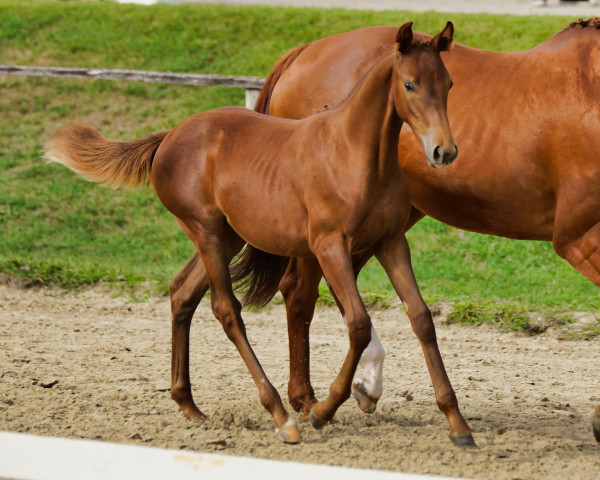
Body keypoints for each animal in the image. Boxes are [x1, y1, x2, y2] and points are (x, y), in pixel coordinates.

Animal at [45, 21, 474, 442]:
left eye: (450, 83)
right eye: (410, 84)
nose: (444, 151)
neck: (356, 153)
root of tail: (168, 137)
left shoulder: (391, 241)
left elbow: (421, 318)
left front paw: (458, 424)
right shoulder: (329, 245)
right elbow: (358, 324)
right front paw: (322, 412)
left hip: (229, 235)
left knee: (182, 292)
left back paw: (189, 405)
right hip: (207, 231)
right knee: (226, 310)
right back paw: (282, 417)